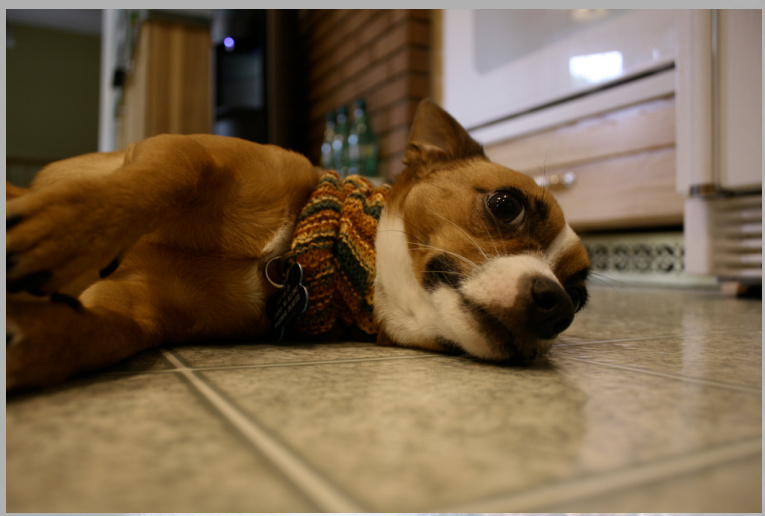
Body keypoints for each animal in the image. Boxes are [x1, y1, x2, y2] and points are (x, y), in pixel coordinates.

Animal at [7, 99, 592, 390]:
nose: (556, 306)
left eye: (580, 293)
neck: (292, 254)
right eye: (506, 204)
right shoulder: (176, 149)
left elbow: (105, 332)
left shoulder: (138, 308)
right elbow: (176, 170)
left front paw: (34, 338)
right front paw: (63, 232)